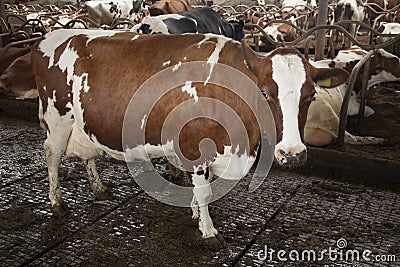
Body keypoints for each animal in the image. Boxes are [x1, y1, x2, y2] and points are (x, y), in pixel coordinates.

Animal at [32, 29, 348, 249]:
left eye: (311, 95)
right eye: (265, 92)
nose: (292, 154)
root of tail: (51, 36)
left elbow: (201, 188)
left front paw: (196, 214)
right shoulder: (195, 146)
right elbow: (205, 191)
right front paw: (209, 232)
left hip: (83, 121)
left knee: (88, 154)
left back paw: (99, 189)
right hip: (58, 117)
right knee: (52, 154)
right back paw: (57, 203)